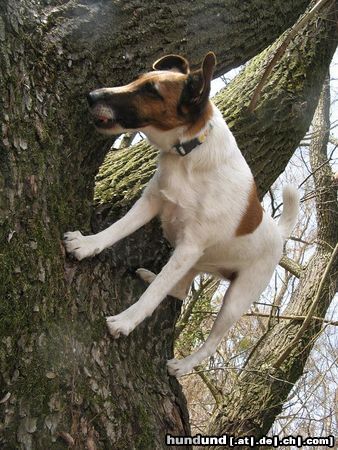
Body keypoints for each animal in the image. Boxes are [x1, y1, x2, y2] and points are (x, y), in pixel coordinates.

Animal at [63, 51, 298, 376]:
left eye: (152, 91)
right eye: (137, 79)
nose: (91, 95)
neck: (188, 153)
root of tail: (278, 233)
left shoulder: (189, 246)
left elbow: (154, 295)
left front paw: (126, 321)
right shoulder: (152, 201)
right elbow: (117, 230)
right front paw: (87, 244)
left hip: (235, 297)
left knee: (209, 337)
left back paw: (184, 365)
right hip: (196, 263)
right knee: (179, 290)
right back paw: (150, 274)